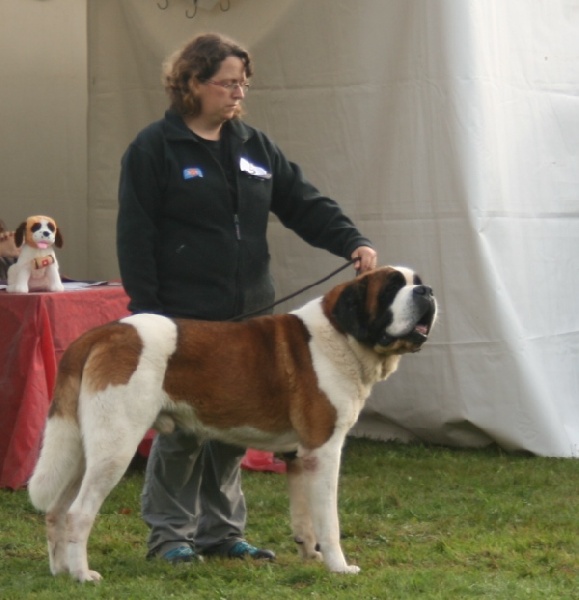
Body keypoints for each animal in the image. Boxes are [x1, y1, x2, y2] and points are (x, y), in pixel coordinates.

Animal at [28, 266, 437, 582]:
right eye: (391, 288)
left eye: (416, 281)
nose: (427, 290)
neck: (342, 336)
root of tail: (101, 333)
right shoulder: (324, 451)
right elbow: (329, 520)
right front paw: (339, 566)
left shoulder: (299, 457)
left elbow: (304, 516)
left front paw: (310, 555)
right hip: (115, 448)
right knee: (79, 513)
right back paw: (83, 575)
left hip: (82, 450)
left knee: (57, 511)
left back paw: (60, 571)